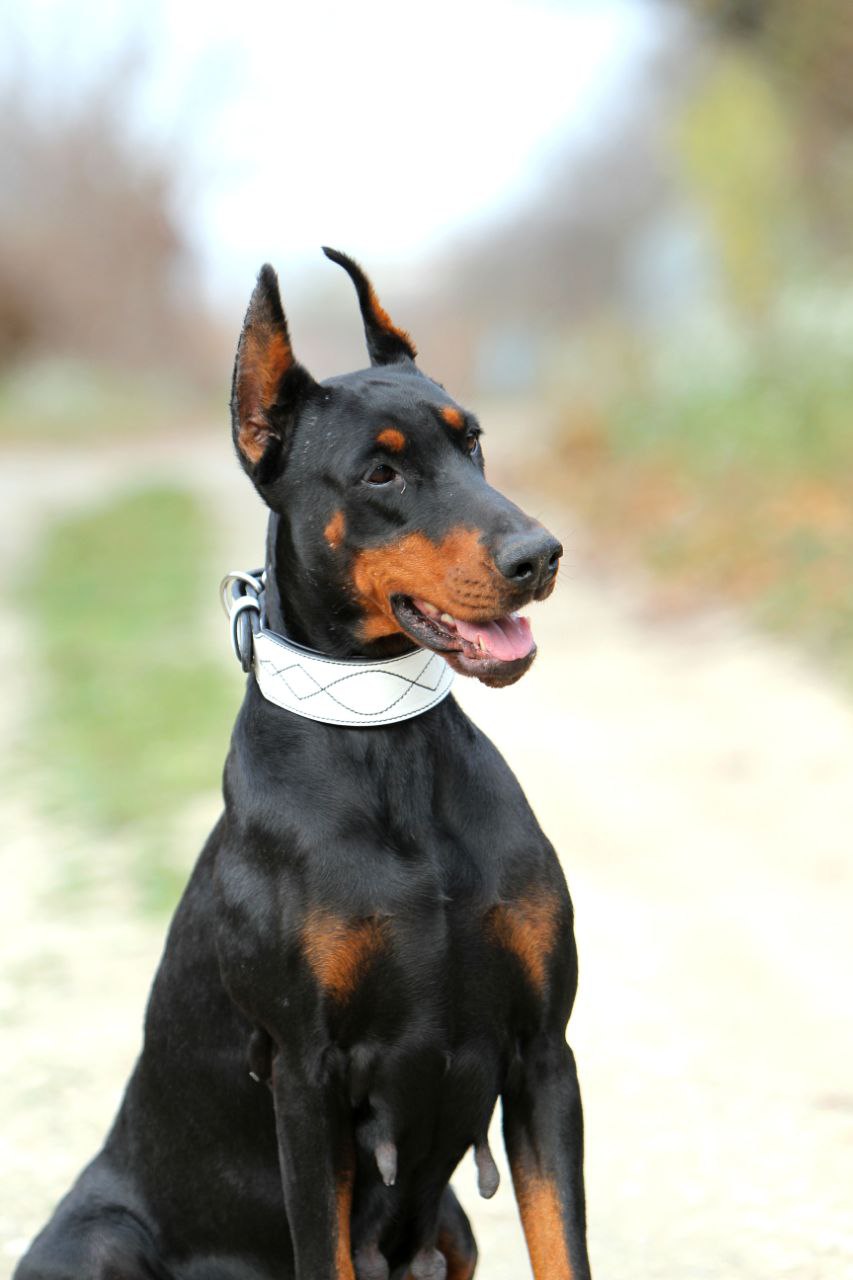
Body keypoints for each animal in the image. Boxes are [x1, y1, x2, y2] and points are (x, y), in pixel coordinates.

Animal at [18, 249, 591, 1280]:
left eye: (474, 445)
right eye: (380, 471)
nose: (541, 555)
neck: (385, 743)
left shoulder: (543, 1056)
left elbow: (562, 1246)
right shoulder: (304, 1079)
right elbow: (321, 1244)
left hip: (451, 1225)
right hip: (101, 1239)